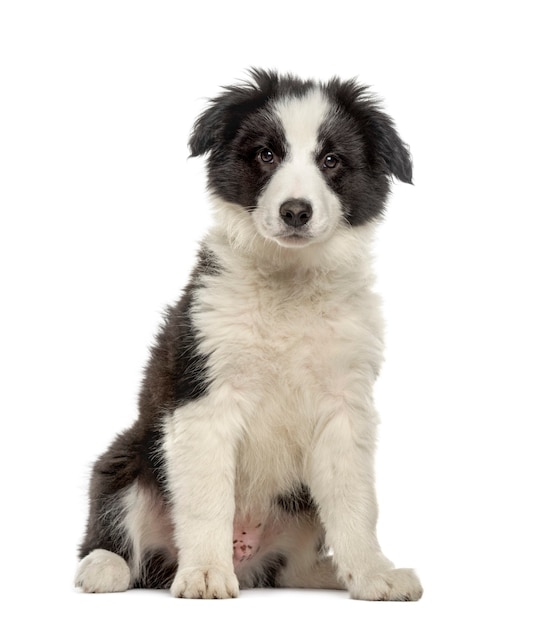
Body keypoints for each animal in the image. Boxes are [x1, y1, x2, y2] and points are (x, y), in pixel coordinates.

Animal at [75, 69, 424, 600]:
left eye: (331, 160)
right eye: (266, 154)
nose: (296, 211)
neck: (289, 283)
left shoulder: (345, 407)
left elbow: (354, 501)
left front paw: (372, 573)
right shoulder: (202, 396)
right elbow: (207, 499)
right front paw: (203, 573)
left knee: (291, 567)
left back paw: (328, 572)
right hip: (128, 459)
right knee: (120, 535)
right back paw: (104, 567)